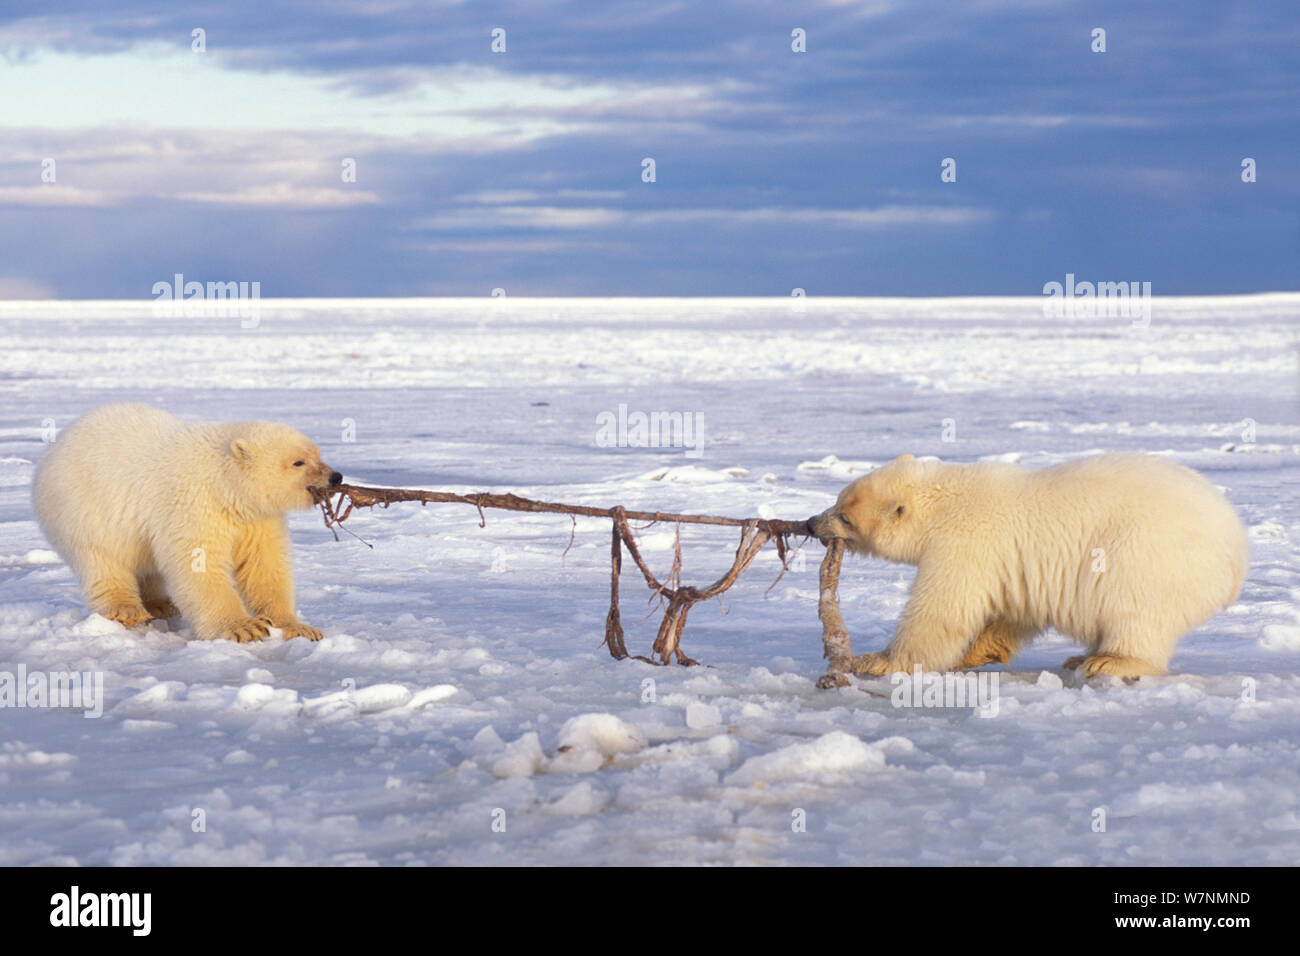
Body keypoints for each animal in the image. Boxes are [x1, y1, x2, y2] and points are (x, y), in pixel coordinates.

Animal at [32, 403, 341, 643]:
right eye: (298, 462)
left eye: (317, 454)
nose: (335, 476)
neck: (225, 484)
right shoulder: (194, 504)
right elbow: (198, 564)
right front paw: (244, 627)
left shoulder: (255, 518)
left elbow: (263, 565)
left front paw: (300, 627)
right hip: (83, 509)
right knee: (102, 560)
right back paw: (127, 610)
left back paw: (160, 604)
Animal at [808, 453, 1249, 679]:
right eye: (838, 498)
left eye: (845, 516)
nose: (813, 523)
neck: (947, 501)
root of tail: (1237, 549)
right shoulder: (1010, 563)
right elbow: (1011, 610)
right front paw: (976, 653)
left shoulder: (966, 542)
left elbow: (942, 609)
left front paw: (876, 660)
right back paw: (1081, 657)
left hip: (1149, 553)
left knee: (1135, 610)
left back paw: (1109, 660)